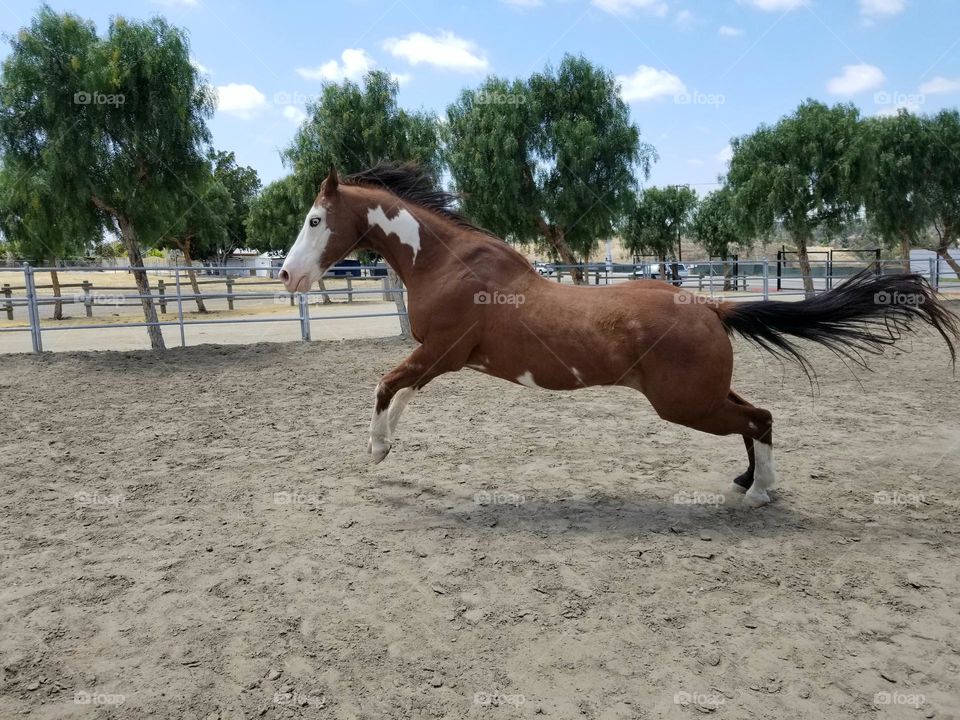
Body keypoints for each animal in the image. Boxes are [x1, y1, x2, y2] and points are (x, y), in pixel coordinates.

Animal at [278, 166, 960, 510]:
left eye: (314, 220)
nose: (287, 275)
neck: (449, 265)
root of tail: (712, 305)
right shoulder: (438, 359)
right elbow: (401, 392)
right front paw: (384, 450)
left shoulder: (441, 352)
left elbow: (387, 385)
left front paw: (376, 451)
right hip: (700, 396)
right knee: (755, 417)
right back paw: (747, 483)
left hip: (685, 403)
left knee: (760, 418)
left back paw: (761, 492)